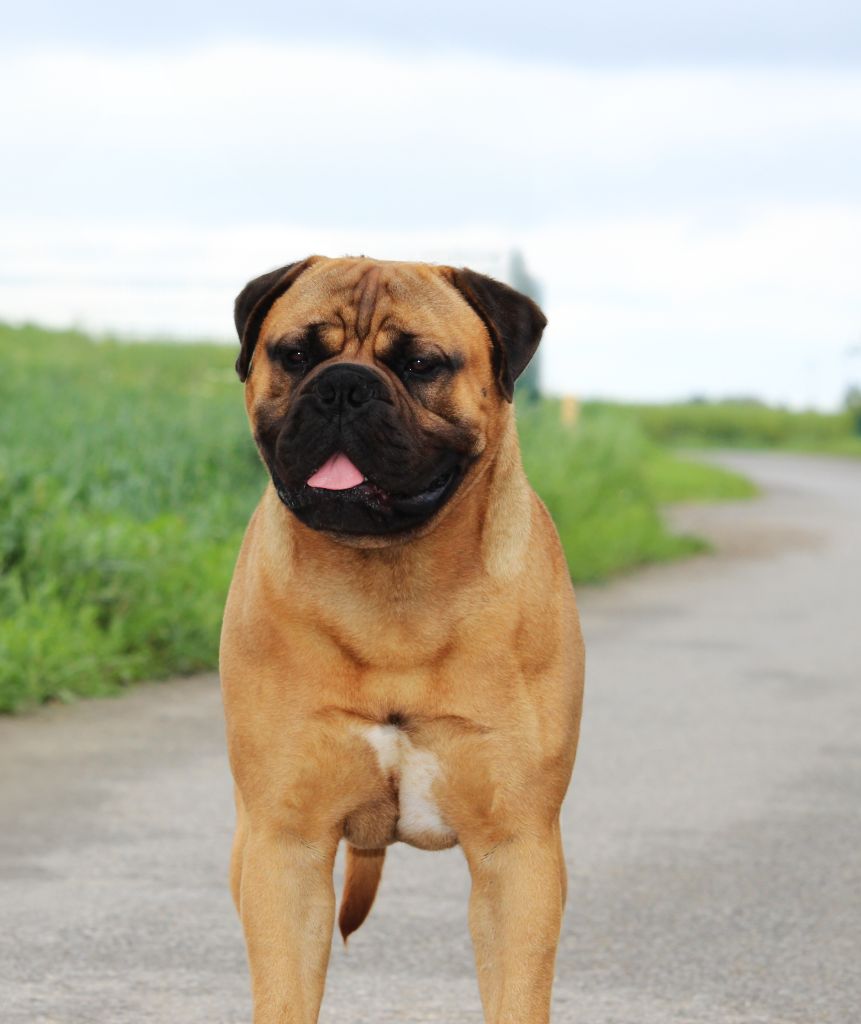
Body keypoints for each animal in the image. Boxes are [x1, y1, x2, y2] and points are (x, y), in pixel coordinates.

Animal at [218, 256, 589, 1024]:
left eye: (420, 363)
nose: (342, 386)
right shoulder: (284, 843)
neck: (392, 582)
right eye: (296, 354)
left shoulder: (518, 850)